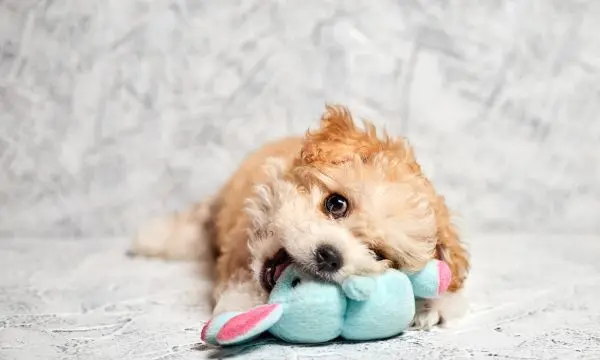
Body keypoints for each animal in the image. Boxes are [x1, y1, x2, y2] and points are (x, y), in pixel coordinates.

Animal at [130, 105, 468, 330]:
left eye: (377, 254)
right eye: (336, 203)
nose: (330, 256)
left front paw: (432, 305)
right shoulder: (238, 243)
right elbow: (237, 280)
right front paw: (239, 311)